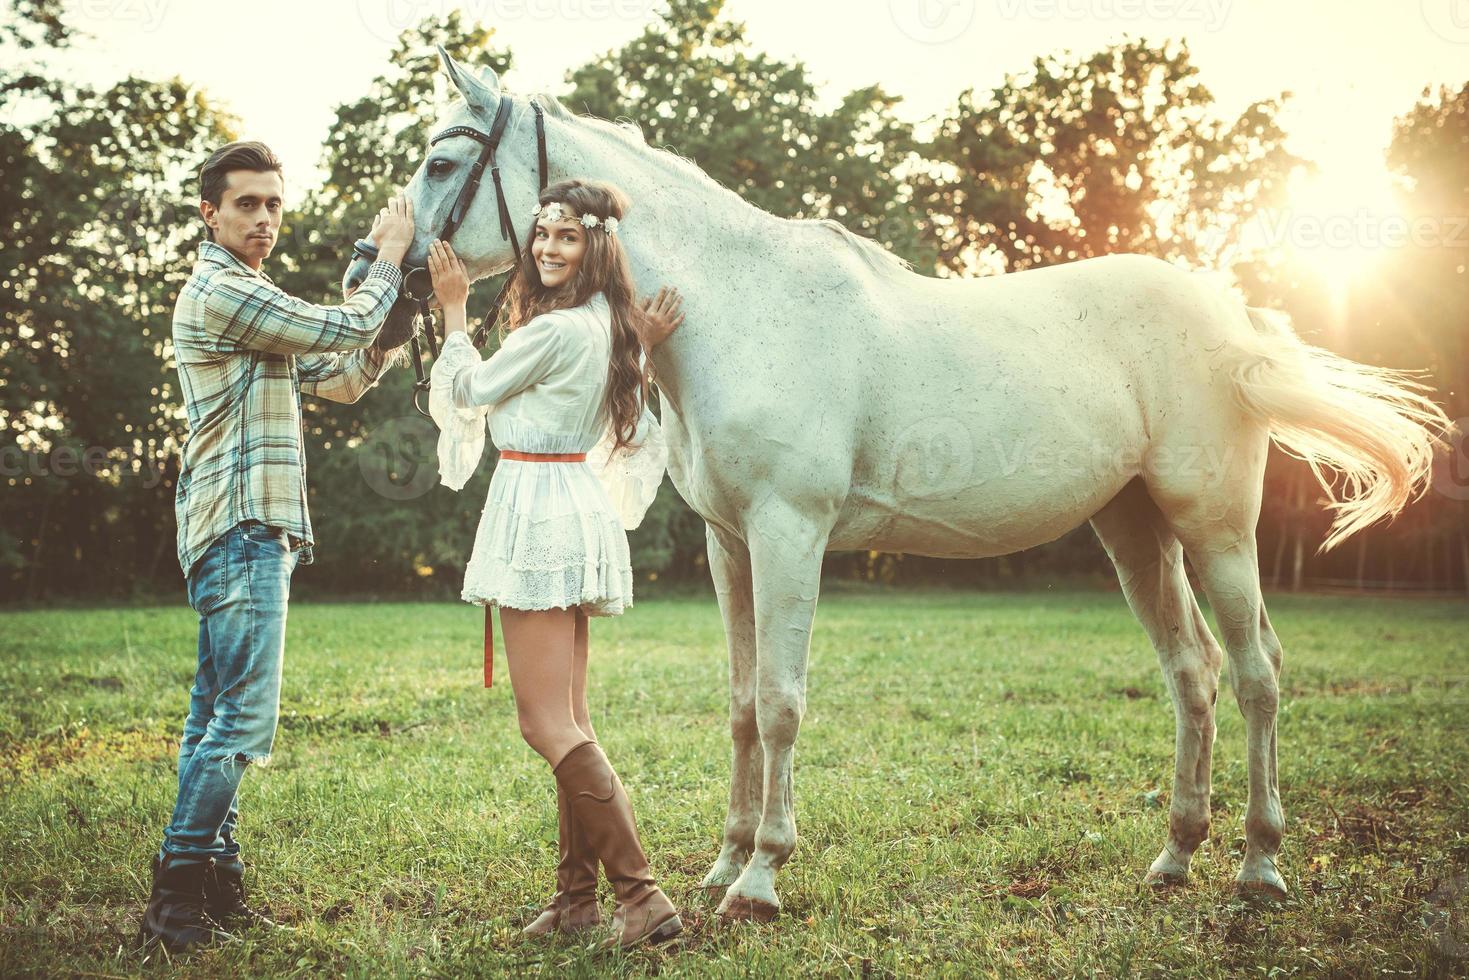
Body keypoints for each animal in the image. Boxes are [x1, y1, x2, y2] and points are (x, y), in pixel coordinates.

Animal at [349, 45, 1451, 922]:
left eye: (443, 160)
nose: (376, 276)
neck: (737, 309)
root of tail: (1232, 313)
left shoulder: (789, 534)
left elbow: (782, 701)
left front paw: (761, 879)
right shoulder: (730, 543)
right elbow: (741, 703)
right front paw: (720, 866)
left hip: (1213, 526)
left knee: (1258, 670)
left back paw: (1258, 867)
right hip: (1135, 532)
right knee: (1193, 672)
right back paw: (1175, 856)